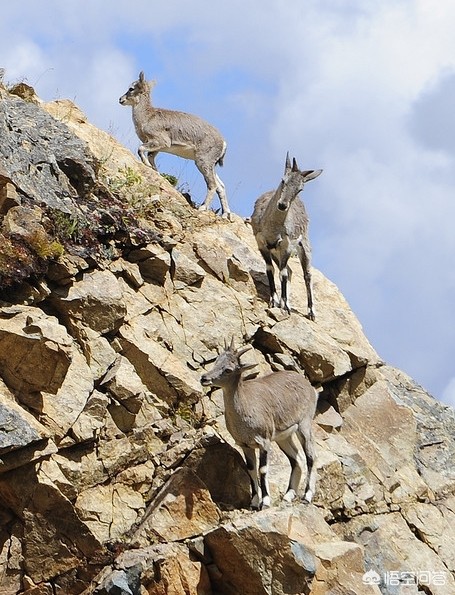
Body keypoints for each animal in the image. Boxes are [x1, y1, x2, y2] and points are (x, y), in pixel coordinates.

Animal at [120, 71, 232, 218]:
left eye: (131, 88)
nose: (120, 99)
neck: (146, 117)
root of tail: (223, 143)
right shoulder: (157, 147)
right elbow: (150, 156)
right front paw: (154, 169)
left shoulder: (160, 141)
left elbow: (141, 150)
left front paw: (147, 165)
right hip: (211, 165)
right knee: (221, 186)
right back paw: (225, 214)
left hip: (202, 162)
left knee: (212, 185)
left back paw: (203, 208)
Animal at [201, 340, 318, 512]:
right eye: (216, 361)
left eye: (228, 369)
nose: (204, 378)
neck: (245, 409)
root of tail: (310, 387)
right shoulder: (245, 445)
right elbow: (251, 469)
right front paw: (254, 502)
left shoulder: (264, 442)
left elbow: (262, 469)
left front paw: (266, 501)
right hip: (283, 437)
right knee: (297, 459)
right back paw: (288, 495)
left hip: (304, 425)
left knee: (311, 457)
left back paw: (307, 496)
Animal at [251, 154, 322, 322]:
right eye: (283, 180)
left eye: (300, 188)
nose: (283, 205)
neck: (272, 228)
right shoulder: (262, 244)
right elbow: (270, 270)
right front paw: (274, 301)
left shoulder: (287, 246)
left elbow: (282, 273)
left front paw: (284, 307)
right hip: (275, 253)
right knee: (289, 271)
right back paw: (287, 303)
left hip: (303, 245)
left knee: (307, 275)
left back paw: (310, 312)